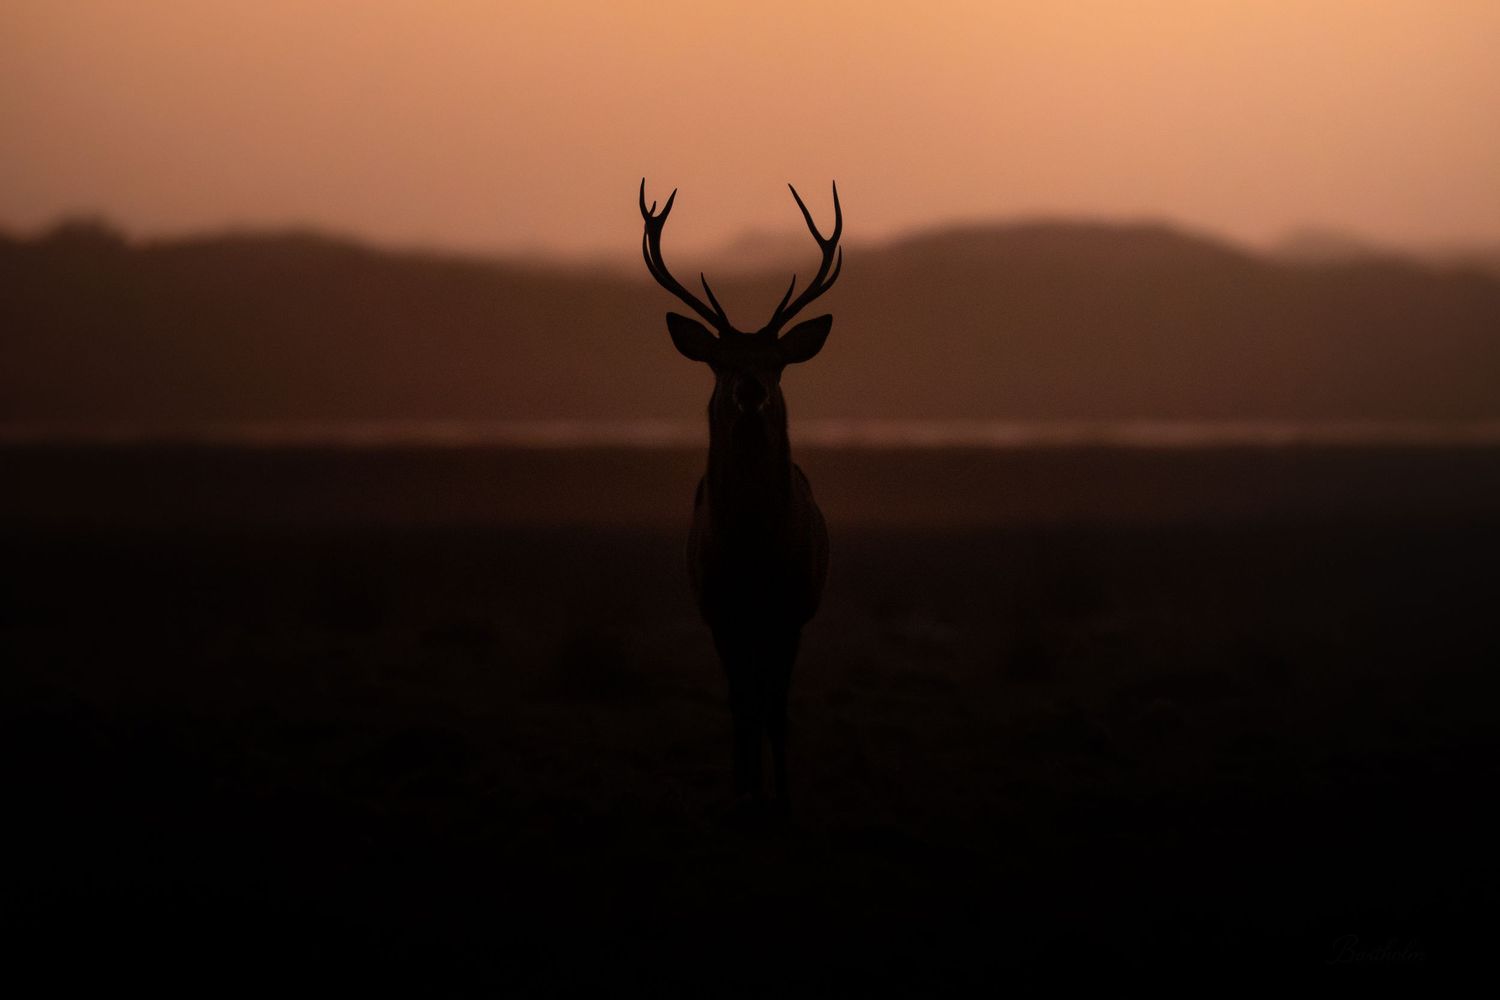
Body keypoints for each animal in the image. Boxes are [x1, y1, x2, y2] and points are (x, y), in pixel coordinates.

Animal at [639, 178, 842, 819]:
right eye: (718, 361)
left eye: (777, 363)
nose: (750, 389)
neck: (753, 550)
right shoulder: (720, 609)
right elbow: (739, 704)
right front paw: (744, 791)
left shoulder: (792, 609)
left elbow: (775, 707)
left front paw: (783, 795)